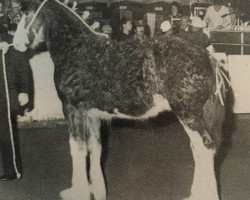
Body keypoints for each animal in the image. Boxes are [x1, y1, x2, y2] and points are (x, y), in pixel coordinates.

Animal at [13, 0, 229, 200]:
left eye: (27, 13)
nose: (15, 44)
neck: (77, 48)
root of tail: (207, 57)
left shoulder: (73, 109)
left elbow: (77, 149)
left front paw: (77, 192)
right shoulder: (92, 114)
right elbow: (95, 148)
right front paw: (97, 190)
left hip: (187, 114)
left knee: (204, 148)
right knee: (198, 151)